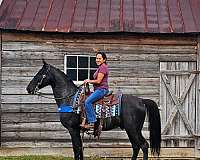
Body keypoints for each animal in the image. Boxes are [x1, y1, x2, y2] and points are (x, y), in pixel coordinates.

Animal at [26, 60, 161, 160]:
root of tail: (141, 100)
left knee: (143, 145)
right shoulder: (77, 130)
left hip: (133, 129)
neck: (70, 99)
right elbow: (79, 148)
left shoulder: (73, 129)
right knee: (135, 146)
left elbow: (76, 148)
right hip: (130, 129)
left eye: (40, 74)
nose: (28, 88)